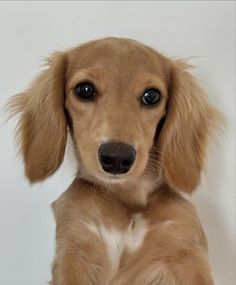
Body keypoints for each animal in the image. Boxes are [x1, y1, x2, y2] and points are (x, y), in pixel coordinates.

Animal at [7, 38, 221, 284]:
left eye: (152, 96)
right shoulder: (74, 246)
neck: (127, 197)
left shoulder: (186, 250)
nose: (117, 158)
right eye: (85, 90)